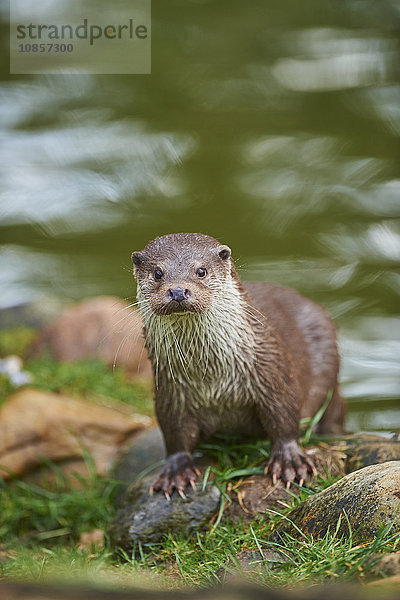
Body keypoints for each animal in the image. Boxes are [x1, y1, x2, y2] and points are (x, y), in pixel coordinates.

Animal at [131, 233, 344, 496]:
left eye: (201, 271)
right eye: (158, 273)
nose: (178, 290)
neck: (213, 379)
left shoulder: (272, 371)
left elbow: (284, 416)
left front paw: (289, 462)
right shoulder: (170, 393)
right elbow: (173, 433)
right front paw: (176, 470)